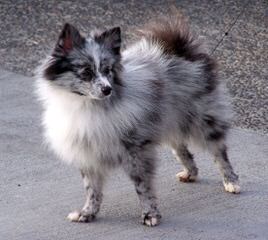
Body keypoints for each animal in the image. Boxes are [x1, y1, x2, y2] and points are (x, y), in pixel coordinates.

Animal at [34, 9, 240, 227]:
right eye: (86, 71)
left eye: (108, 70)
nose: (107, 89)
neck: (89, 105)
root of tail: (179, 47)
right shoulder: (89, 153)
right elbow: (92, 189)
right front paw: (87, 213)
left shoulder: (136, 151)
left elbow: (142, 186)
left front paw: (150, 214)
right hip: (168, 121)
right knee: (181, 148)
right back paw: (190, 173)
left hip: (203, 121)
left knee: (219, 152)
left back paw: (231, 181)